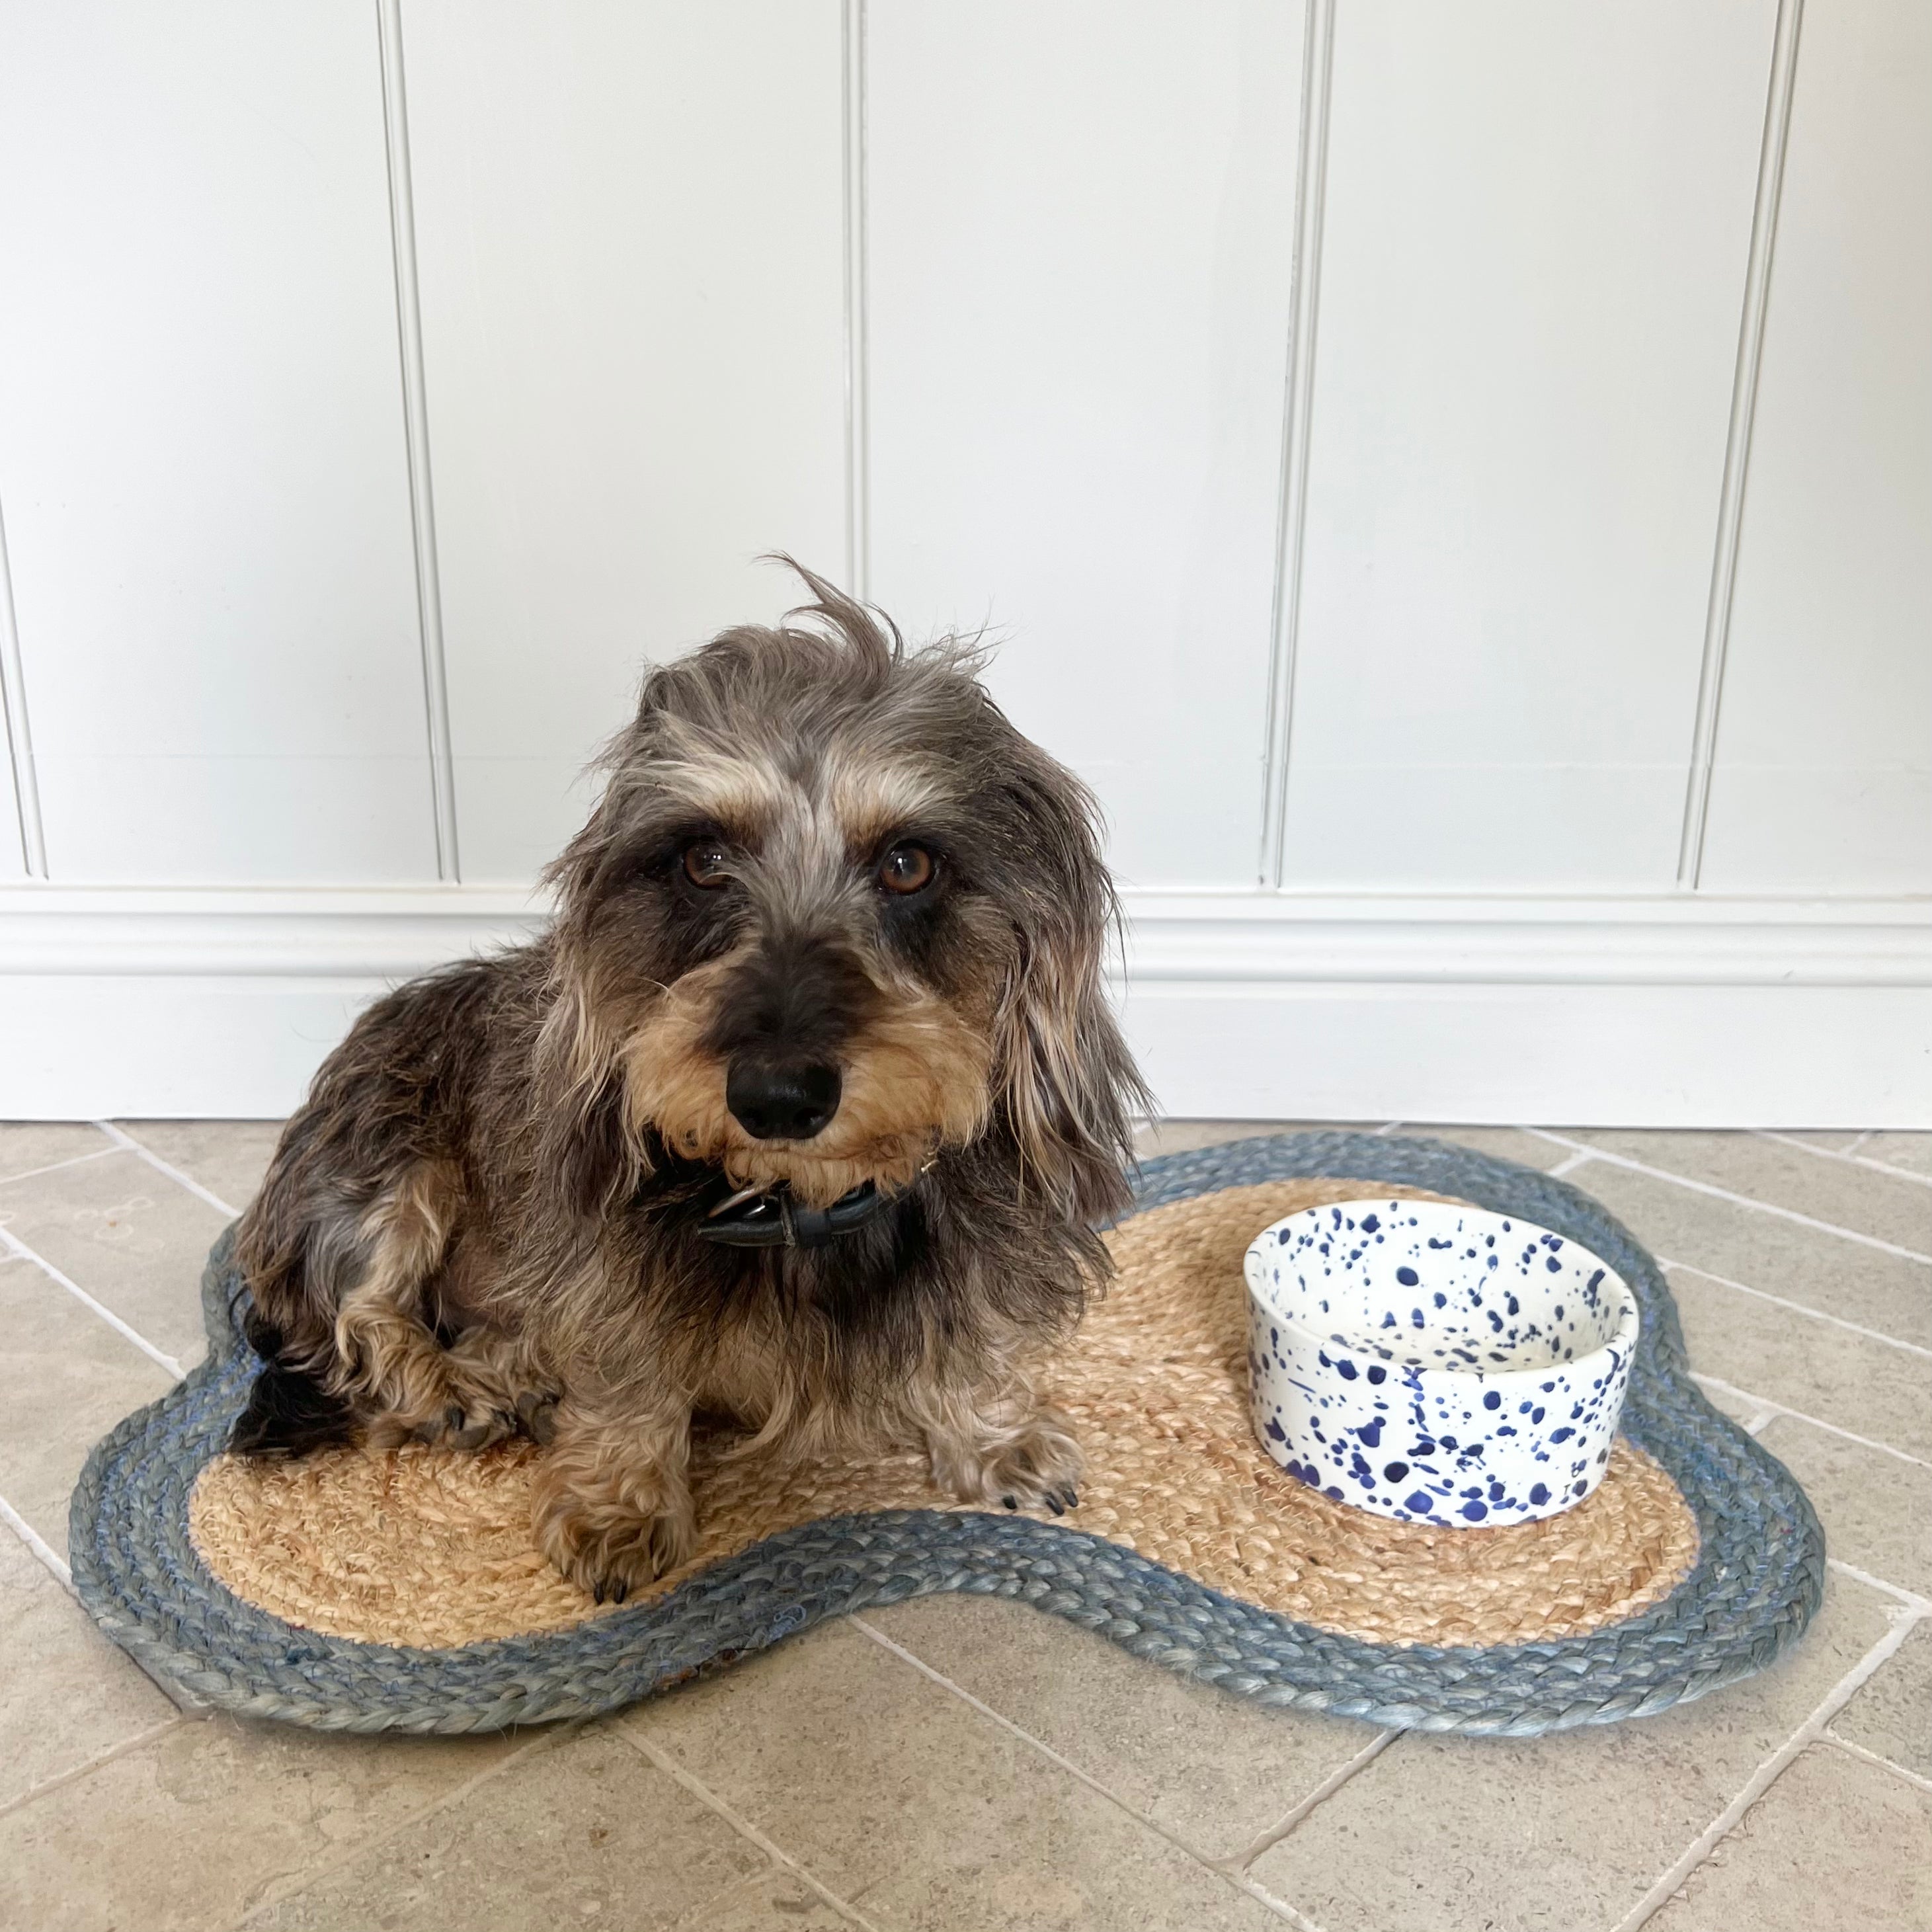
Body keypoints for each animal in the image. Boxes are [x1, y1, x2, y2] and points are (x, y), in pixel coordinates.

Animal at [233, 560, 1151, 1599]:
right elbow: (627, 1382)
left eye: (909, 863)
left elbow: (968, 1337)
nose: (777, 1096)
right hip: (386, 1159)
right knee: (357, 1317)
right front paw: (619, 1506)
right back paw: (454, 1385)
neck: (802, 1201)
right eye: (704, 860)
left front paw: (993, 1435)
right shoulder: (601, 1272)